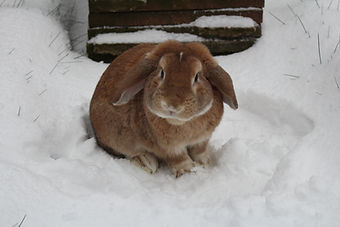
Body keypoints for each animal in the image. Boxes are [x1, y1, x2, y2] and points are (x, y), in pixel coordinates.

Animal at [90, 40, 239, 176]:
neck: (181, 123)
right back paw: (147, 162)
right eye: (162, 72)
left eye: (197, 76)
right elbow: (178, 159)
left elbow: (200, 152)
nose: (172, 105)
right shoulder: (167, 147)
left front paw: (204, 164)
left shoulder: (202, 140)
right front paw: (188, 171)